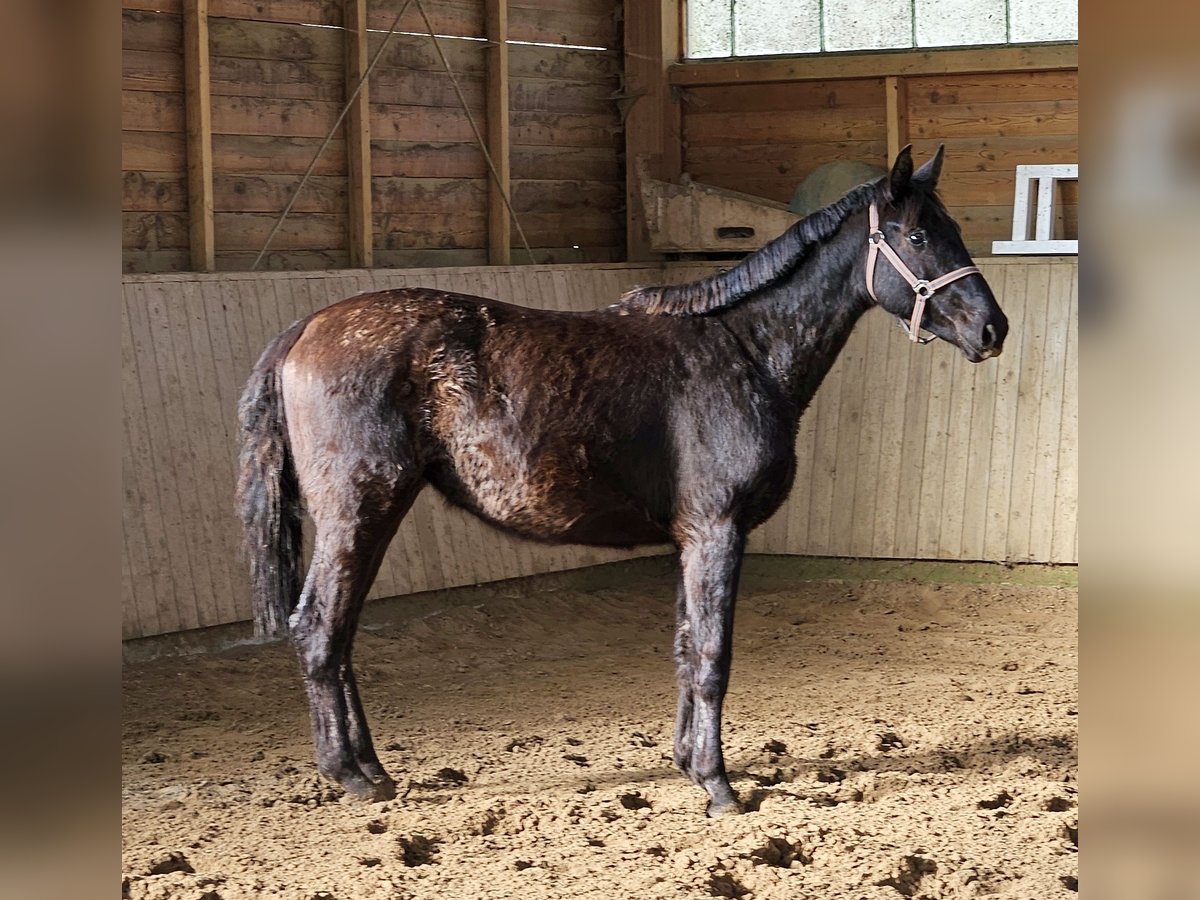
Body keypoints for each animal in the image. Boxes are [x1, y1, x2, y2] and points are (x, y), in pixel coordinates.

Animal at [238, 148, 1008, 816]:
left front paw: (687, 762)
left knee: (340, 633)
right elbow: (712, 653)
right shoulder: (717, 530)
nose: (992, 328)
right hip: (360, 511)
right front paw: (718, 786)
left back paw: (373, 767)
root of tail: (306, 328)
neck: (743, 348)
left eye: (953, 230)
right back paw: (349, 775)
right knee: (319, 628)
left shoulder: (689, 538)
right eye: (916, 235)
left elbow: (684, 645)